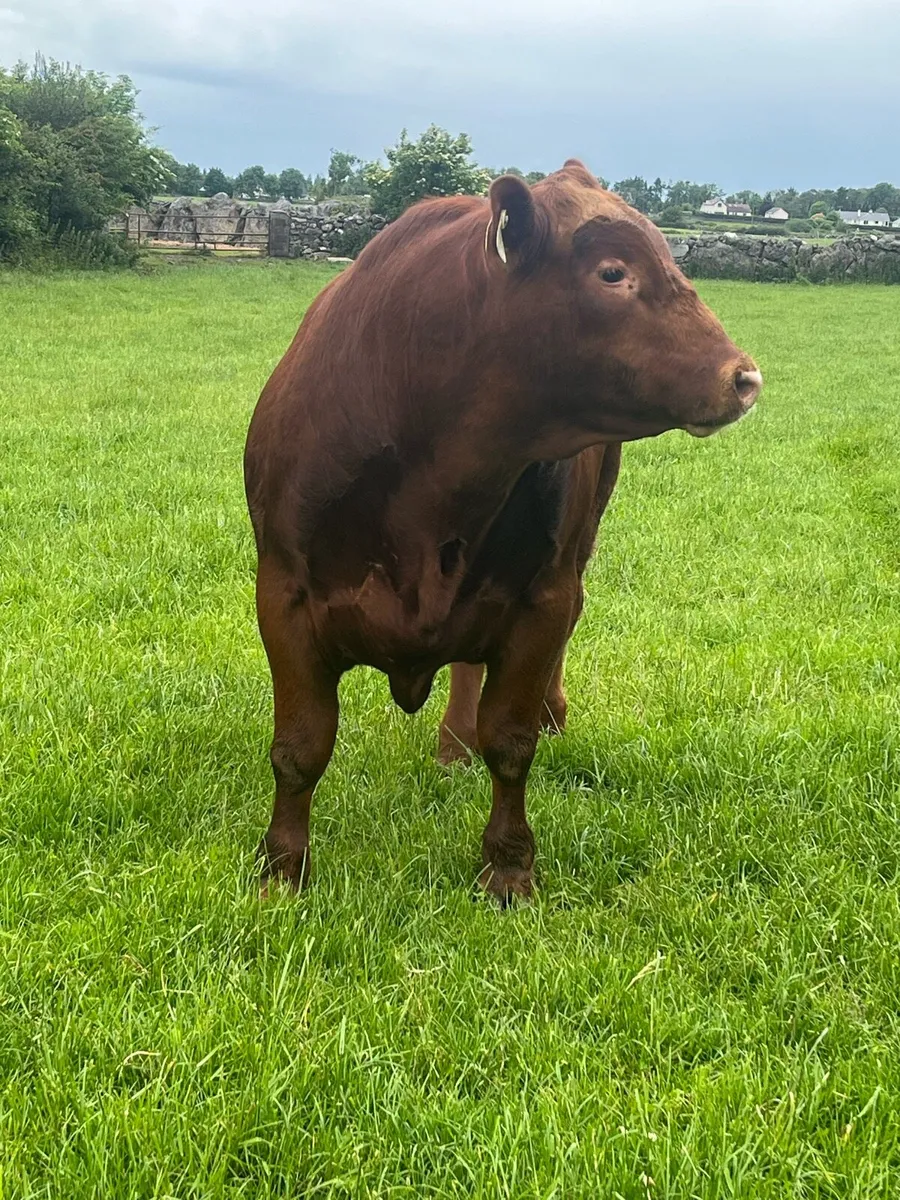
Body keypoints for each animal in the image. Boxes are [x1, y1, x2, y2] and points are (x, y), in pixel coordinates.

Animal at [244, 159, 762, 903]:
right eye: (613, 272)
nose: (744, 377)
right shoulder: (282, 593)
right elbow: (299, 746)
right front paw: (281, 871)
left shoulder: (542, 598)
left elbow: (512, 743)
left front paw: (510, 870)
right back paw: (453, 744)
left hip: (582, 542)